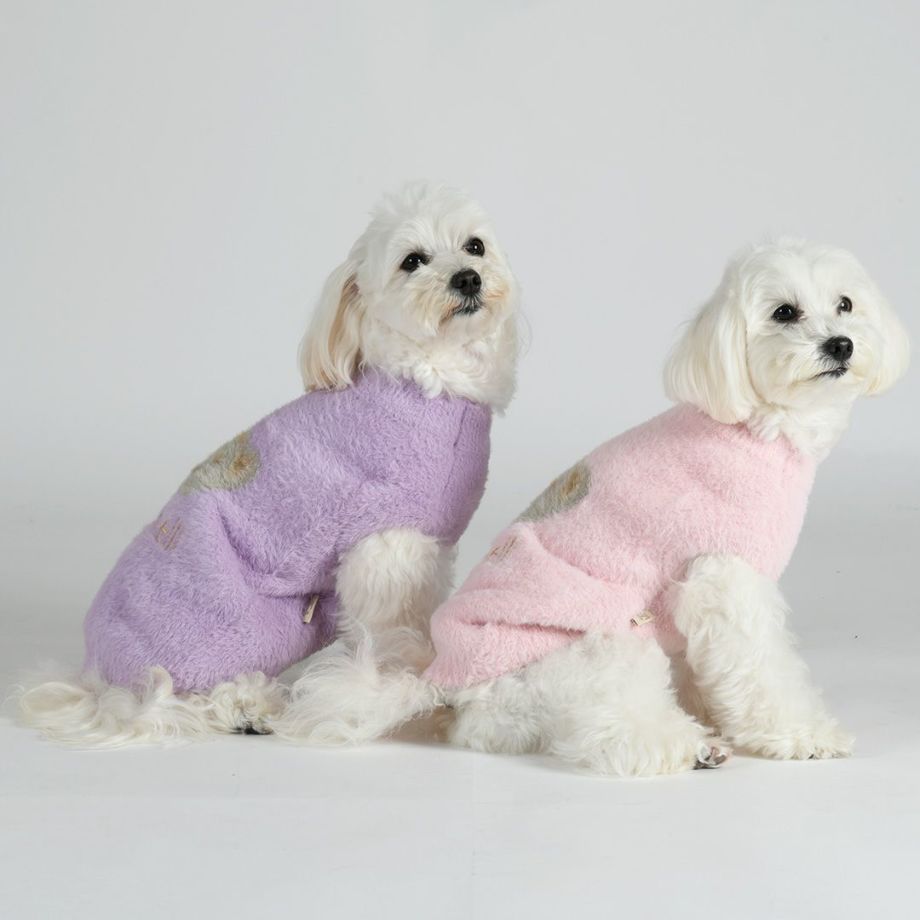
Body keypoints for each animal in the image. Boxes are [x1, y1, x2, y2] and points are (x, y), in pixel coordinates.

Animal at [17, 182, 520, 746]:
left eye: (475, 246)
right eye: (412, 260)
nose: (468, 277)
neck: (431, 377)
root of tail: (97, 680)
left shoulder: (427, 549)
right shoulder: (389, 549)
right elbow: (395, 626)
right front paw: (410, 677)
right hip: (232, 628)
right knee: (176, 695)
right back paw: (248, 704)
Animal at [304, 240, 907, 776]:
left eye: (846, 304)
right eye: (784, 312)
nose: (841, 344)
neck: (757, 425)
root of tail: (445, 683)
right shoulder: (724, 580)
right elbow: (762, 670)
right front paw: (802, 734)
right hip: (595, 646)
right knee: (607, 726)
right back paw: (687, 747)